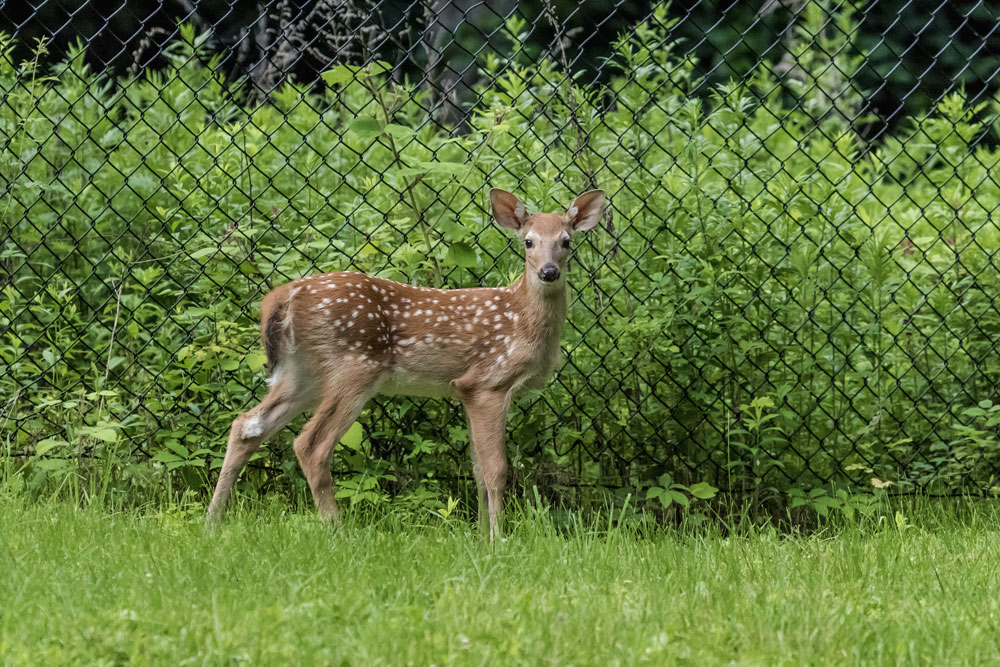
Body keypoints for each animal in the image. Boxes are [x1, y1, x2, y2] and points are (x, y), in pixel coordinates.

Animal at [207, 187, 604, 536]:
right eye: (528, 241)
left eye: (566, 242)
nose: (549, 272)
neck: (522, 319)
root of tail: (283, 296)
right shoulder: (488, 381)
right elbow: (496, 470)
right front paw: (497, 538)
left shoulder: (464, 390)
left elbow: (476, 470)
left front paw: (479, 537)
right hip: (354, 366)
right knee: (311, 445)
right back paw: (337, 531)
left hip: (302, 373)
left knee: (246, 425)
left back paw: (213, 522)